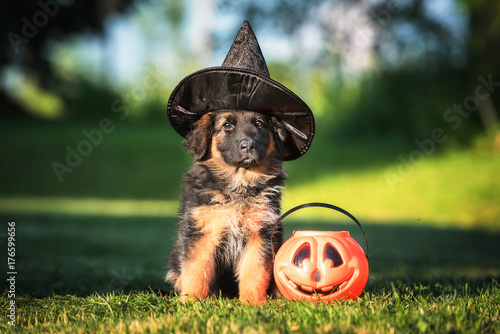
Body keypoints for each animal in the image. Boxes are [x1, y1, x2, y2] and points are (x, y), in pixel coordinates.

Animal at [167, 110, 288, 306]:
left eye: (259, 123)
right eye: (226, 125)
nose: (248, 146)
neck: (239, 185)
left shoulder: (260, 233)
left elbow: (254, 272)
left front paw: (252, 303)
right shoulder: (201, 232)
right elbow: (195, 270)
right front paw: (192, 301)